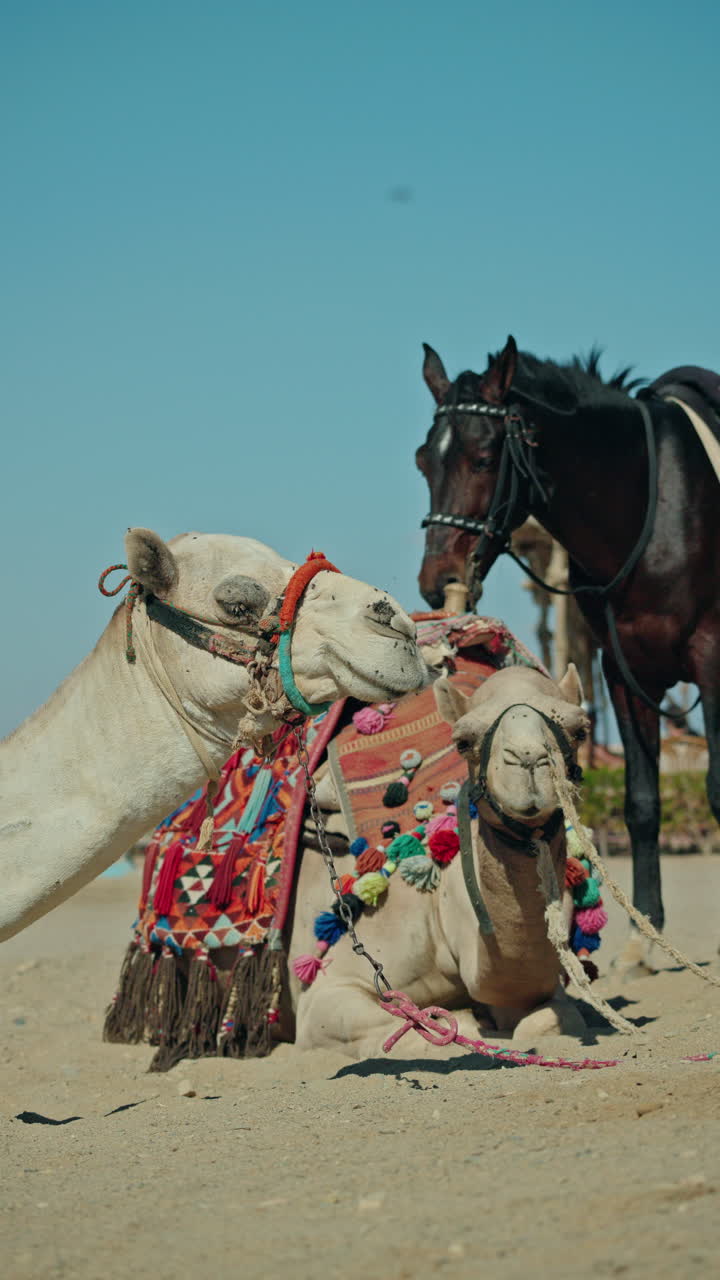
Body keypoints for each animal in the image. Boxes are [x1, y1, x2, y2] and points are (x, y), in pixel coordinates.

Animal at [288, 663, 591, 1056]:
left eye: (580, 730)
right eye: (463, 741)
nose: (528, 760)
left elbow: (550, 1021)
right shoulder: (326, 991)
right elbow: (417, 1033)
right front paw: (461, 1022)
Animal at [416, 336, 720, 961]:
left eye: (484, 458)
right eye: (422, 460)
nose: (439, 581)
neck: (655, 510)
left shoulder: (711, 654)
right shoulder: (623, 670)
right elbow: (641, 802)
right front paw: (644, 941)